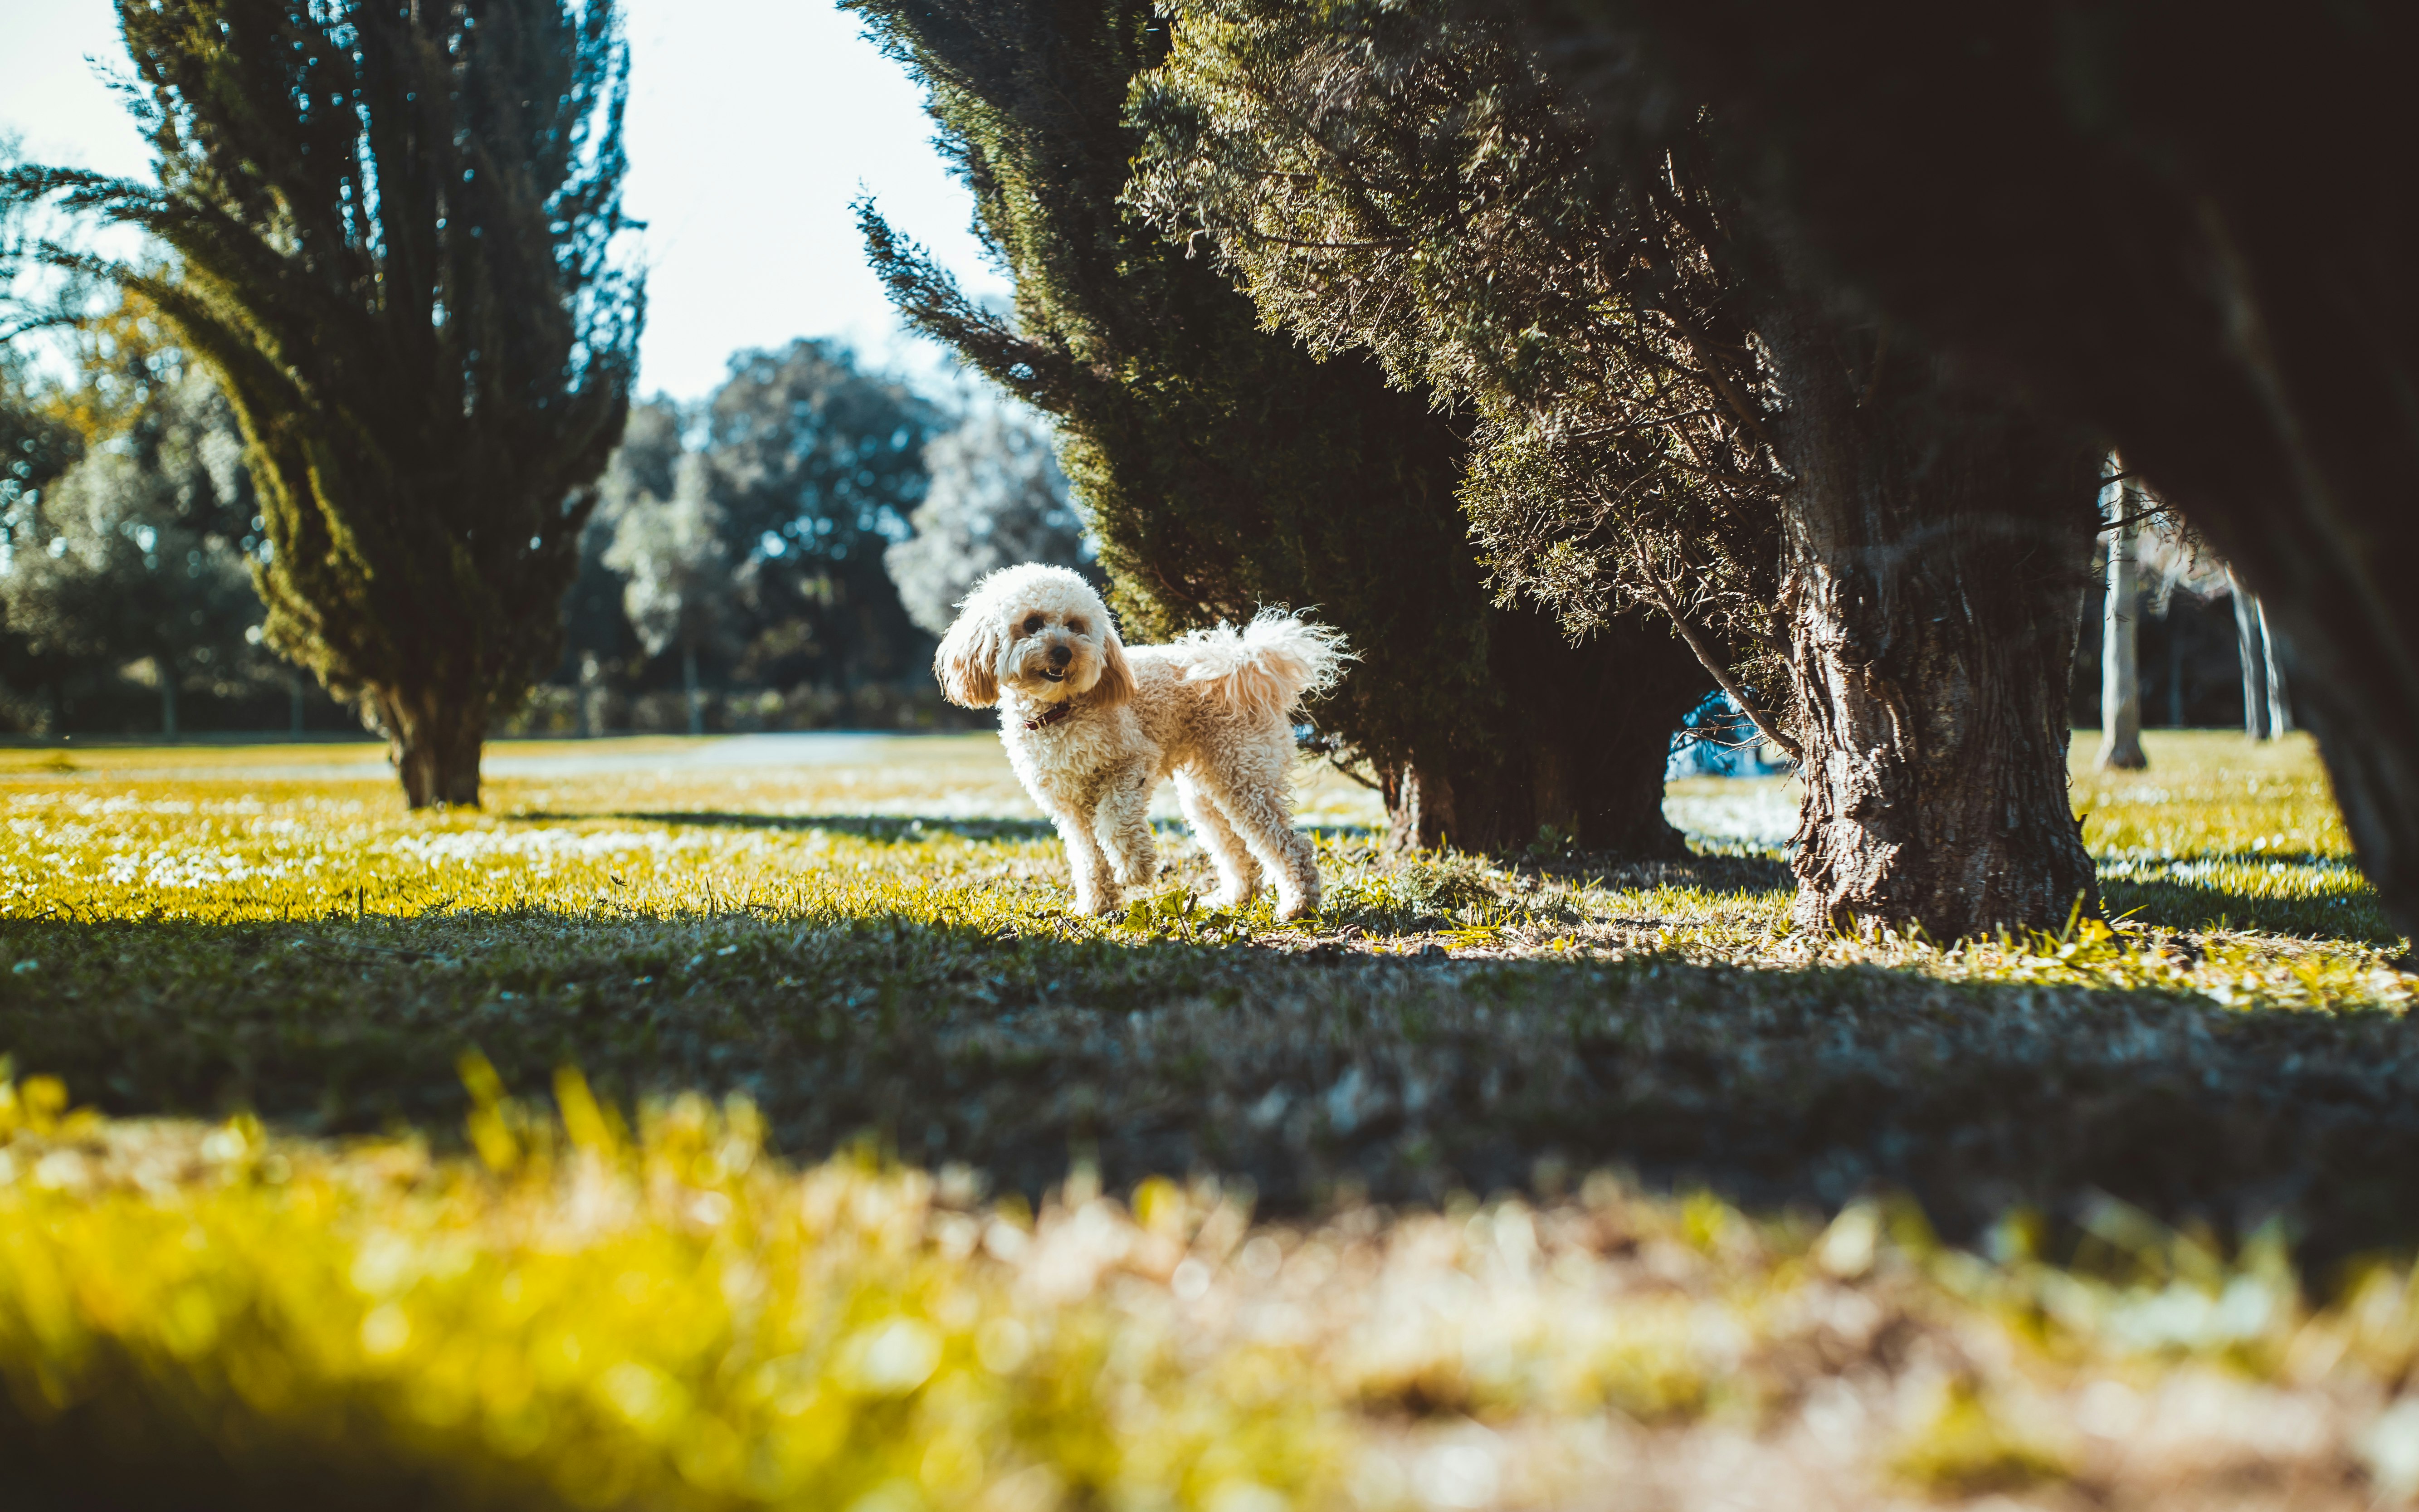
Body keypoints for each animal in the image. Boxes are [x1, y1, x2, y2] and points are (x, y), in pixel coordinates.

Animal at [929, 563, 1355, 919]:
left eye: (1075, 625)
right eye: (1032, 623)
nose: (1064, 652)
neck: (1060, 712)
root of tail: (1245, 661)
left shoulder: (1133, 764)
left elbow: (1114, 820)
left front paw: (1136, 869)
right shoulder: (1068, 807)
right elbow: (1088, 857)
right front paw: (1096, 906)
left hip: (1244, 777)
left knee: (1291, 844)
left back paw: (1299, 905)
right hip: (1208, 789)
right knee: (1236, 850)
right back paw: (1234, 899)